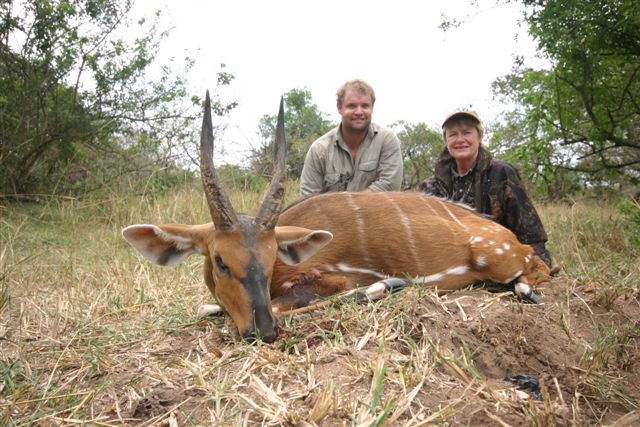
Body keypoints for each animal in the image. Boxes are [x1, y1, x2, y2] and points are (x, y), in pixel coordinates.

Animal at [122, 92, 552, 342]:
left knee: (538, 271)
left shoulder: (331, 277)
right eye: (220, 261)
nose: (264, 332)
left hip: (501, 257)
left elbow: (292, 302)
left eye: (271, 255)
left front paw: (383, 286)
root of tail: (505, 236)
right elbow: (206, 308)